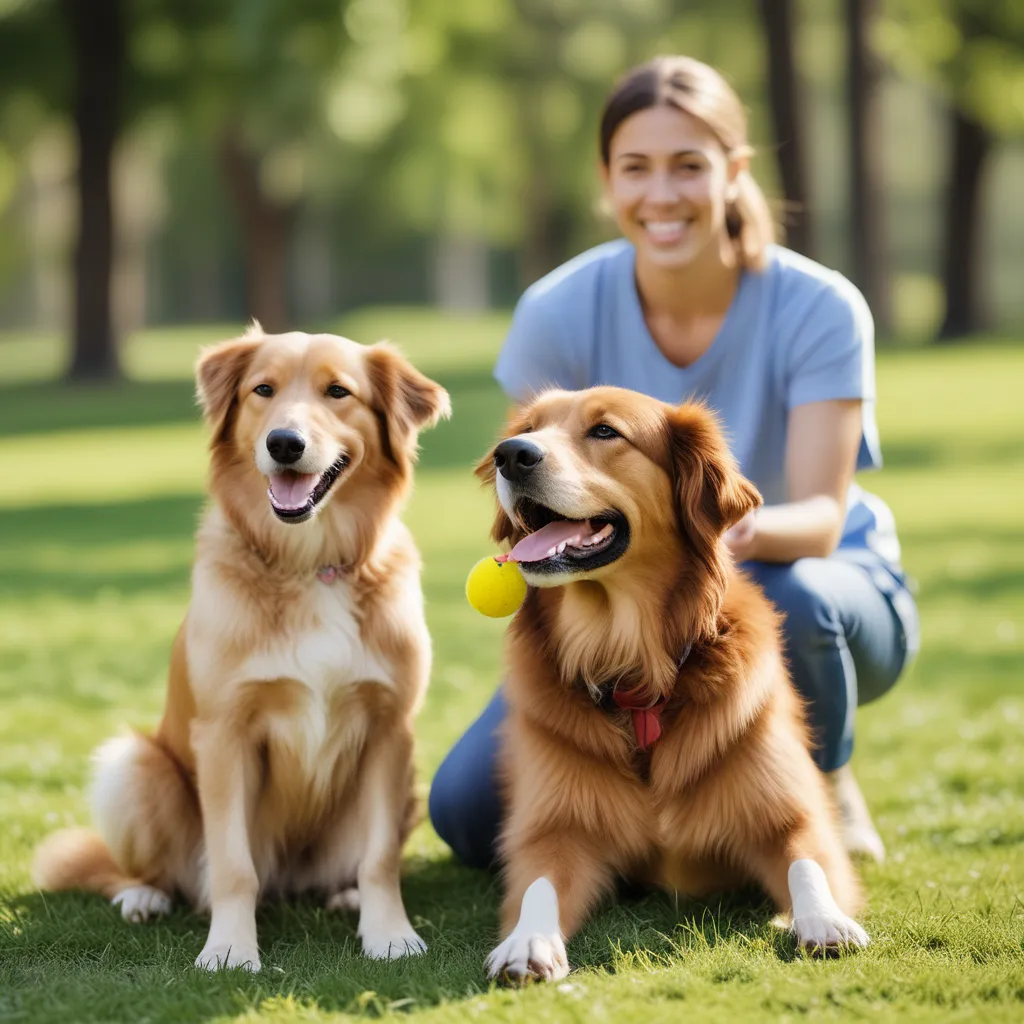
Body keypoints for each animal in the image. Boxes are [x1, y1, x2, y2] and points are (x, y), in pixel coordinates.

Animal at [33, 323, 448, 970]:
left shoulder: (390, 729)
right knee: (145, 872)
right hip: (135, 768)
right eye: (263, 390)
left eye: (338, 391)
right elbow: (233, 866)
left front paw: (389, 933)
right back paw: (143, 896)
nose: (284, 443)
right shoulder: (225, 734)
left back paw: (346, 894)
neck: (309, 565)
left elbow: (380, 857)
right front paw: (230, 948)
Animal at [477, 387, 864, 978]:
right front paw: (528, 941)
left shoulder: (790, 815)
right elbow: (537, 886)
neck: (632, 667)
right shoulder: (554, 827)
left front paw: (823, 920)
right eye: (529, 429)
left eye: (606, 431)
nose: (510, 455)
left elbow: (808, 863)